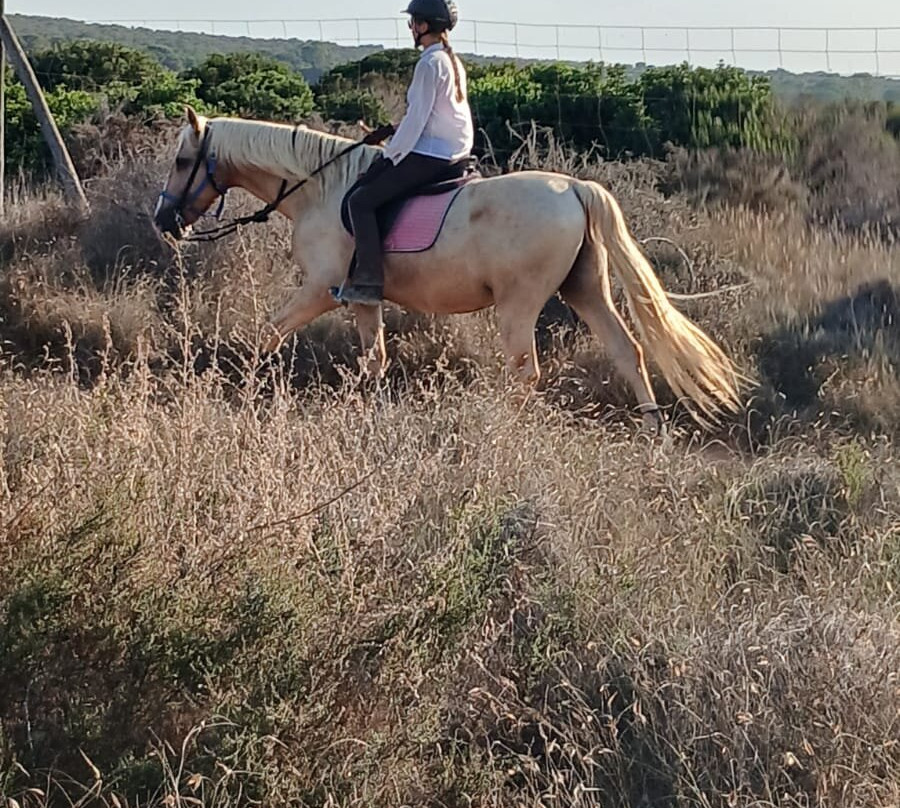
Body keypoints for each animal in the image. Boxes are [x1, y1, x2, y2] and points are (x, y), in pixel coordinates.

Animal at [154, 108, 744, 429]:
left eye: (183, 161)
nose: (164, 220)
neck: (320, 188)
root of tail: (575, 187)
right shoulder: (362, 297)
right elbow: (374, 359)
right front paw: (366, 410)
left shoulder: (323, 288)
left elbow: (267, 335)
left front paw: (247, 389)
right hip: (586, 291)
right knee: (630, 352)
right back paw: (655, 435)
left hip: (520, 303)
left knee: (526, 373)